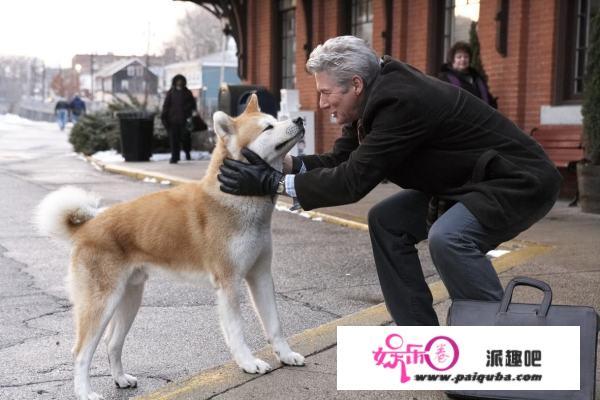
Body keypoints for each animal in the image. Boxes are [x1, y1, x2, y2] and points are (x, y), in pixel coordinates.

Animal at [34, 95, 304, 400]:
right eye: (268, 127)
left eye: (276, 119)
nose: (299, 120)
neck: (236, 199)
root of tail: (86, 227)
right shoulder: (229, 283)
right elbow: (237, 331)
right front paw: (248, 363)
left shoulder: (260, 276)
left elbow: (275, 325)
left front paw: (286, 355)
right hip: (101, 303)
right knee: (80, 353)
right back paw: (85, 392)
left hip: (129, 298)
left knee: (112, 343)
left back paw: (120, 379)